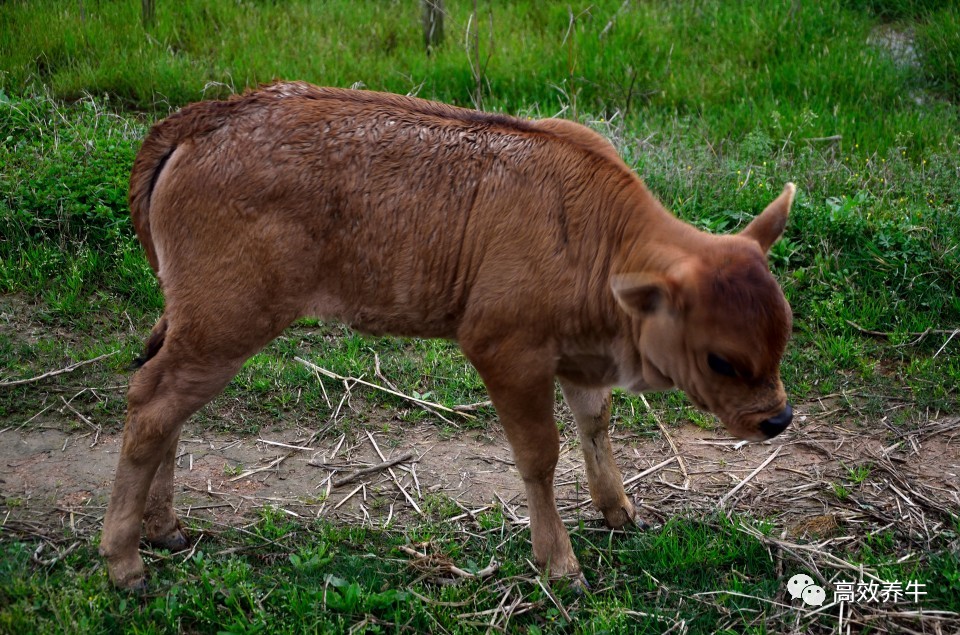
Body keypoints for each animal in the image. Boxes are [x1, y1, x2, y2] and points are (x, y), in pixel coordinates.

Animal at [103, 82, 796, 588]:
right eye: (721, 360)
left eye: (782, 337)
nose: (777, 419)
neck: (600, 237)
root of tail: (204, 117)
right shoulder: (504, 347)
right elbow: (539, 454)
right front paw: (561, 563)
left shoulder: (580, 354)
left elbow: (595, 425)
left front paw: (619, 512)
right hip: (226, 320)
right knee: (151, 403)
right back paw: (124, 562)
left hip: (194, 319)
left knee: (164, 398)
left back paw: (162, 529)